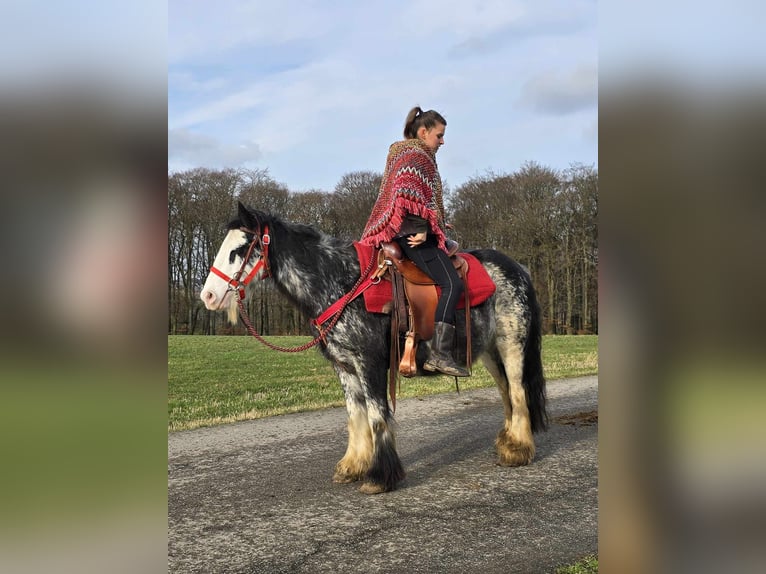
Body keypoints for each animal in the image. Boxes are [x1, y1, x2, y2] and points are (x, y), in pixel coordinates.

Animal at [198, 202, 544, 496]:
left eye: (239, 249)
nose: (208, 296)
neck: (342, 284)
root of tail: (518, 268)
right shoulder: (345, 367)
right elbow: (356, 416)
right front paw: (353, 466)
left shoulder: (370, 363)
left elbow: (377, 416)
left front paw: (380, 476)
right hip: (489, 352)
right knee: (506, 393)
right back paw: (508, 442)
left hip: (512, 346)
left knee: (517, 391)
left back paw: (518, 450)